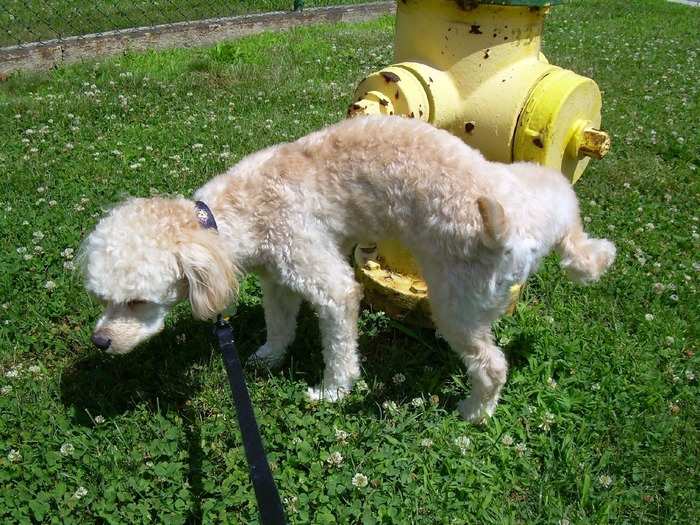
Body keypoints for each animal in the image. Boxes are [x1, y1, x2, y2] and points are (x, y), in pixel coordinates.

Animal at [82, 115, 616, 422]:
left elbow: (338, 343)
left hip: (455, 303)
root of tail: (512, 230)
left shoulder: (326, 280)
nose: (101, 342)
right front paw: (268, 358)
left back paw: (474, 413)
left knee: (492, 364)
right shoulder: (278, 279)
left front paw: (333, 391)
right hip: (542, 192)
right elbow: (279, 325)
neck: (228, 217)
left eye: (138, 301)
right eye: (103, 299)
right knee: (573, 225)